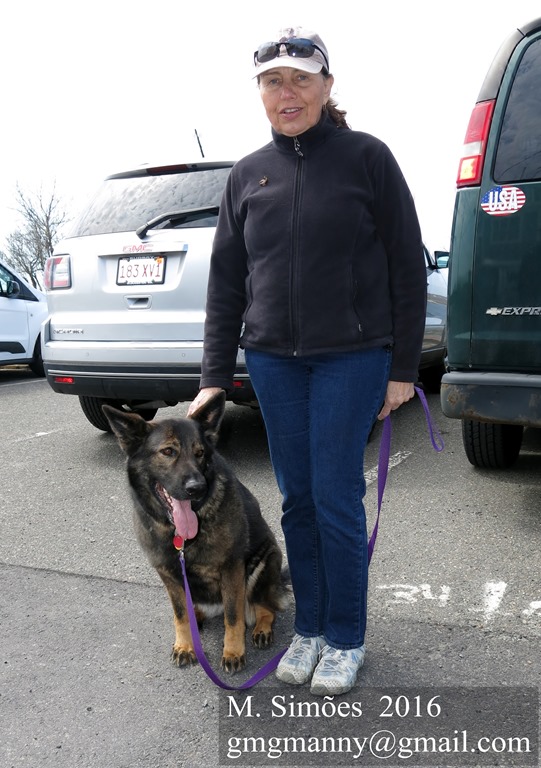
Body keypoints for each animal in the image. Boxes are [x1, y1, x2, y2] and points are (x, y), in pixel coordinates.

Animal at [103, 392, 288, 673]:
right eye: (168, 451)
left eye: (200, 453)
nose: (197, 487)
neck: (180, 535)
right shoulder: (168, 573)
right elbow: (180, 615)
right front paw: (185, 645)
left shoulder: (232, 568)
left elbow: (233, 617)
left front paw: (233, 652)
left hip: (265, 562)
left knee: (265, 608)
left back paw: (262, 629)